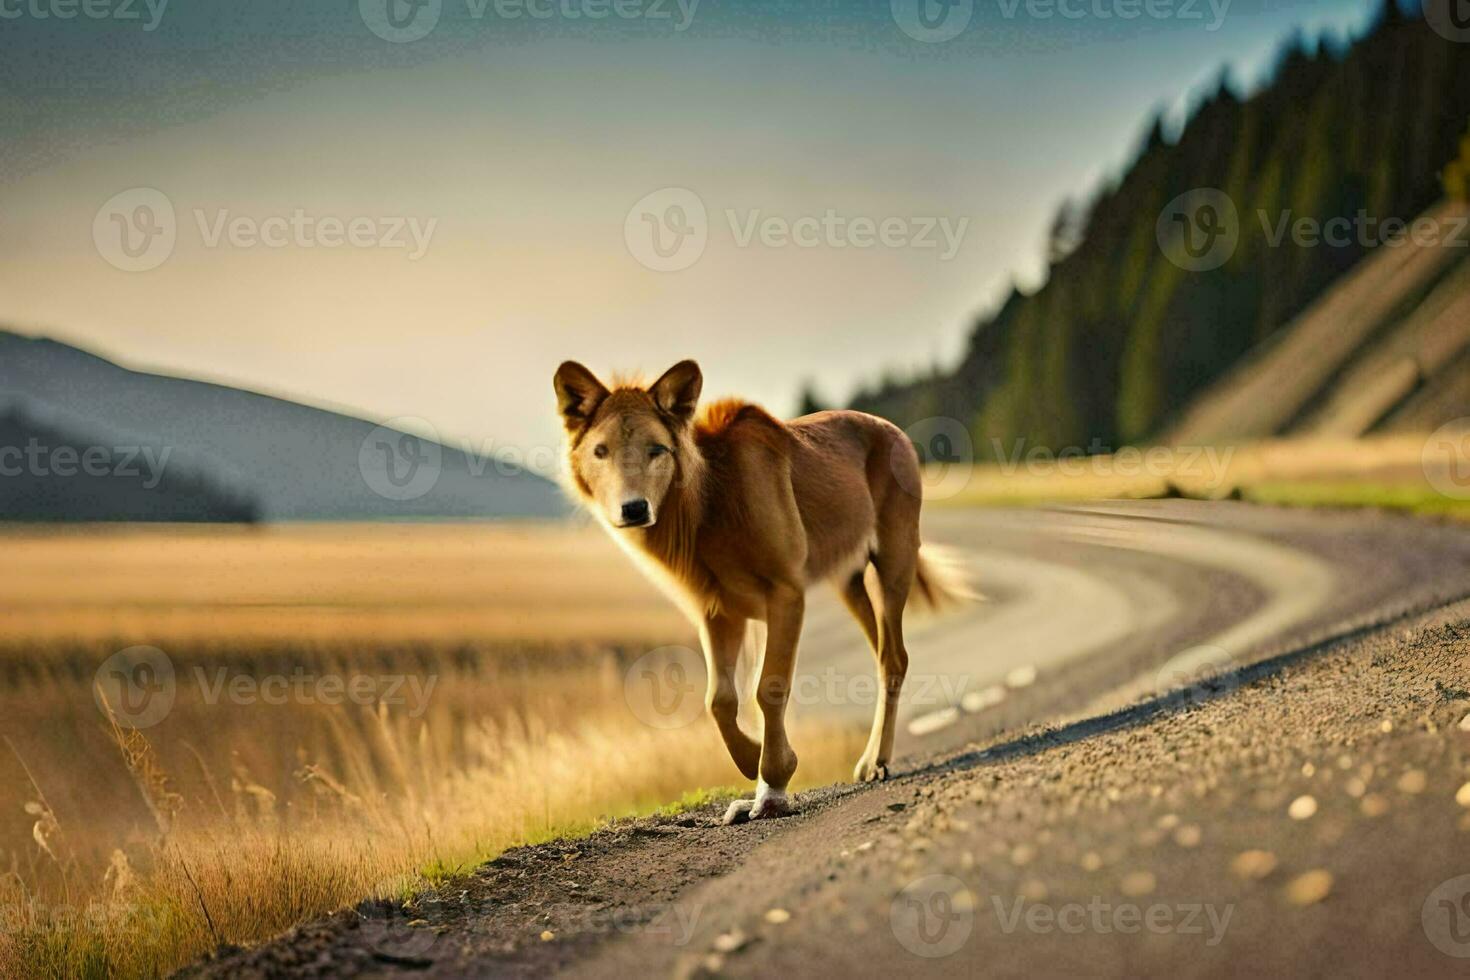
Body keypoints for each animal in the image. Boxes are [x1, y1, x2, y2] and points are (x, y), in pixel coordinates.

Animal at [555, 358, 970, 822]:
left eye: (656, 449)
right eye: (600, 451)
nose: (634, 508)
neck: (703, 510)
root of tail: (895, 430)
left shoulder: (786, 592)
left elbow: (768, 688)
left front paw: (773, 783)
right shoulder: (719, 611)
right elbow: (719, 700)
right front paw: (752, 762)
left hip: (894, 561)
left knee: (894, 656)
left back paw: (873, 762)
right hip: (847, 579)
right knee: (882, 653)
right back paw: (870, 759)